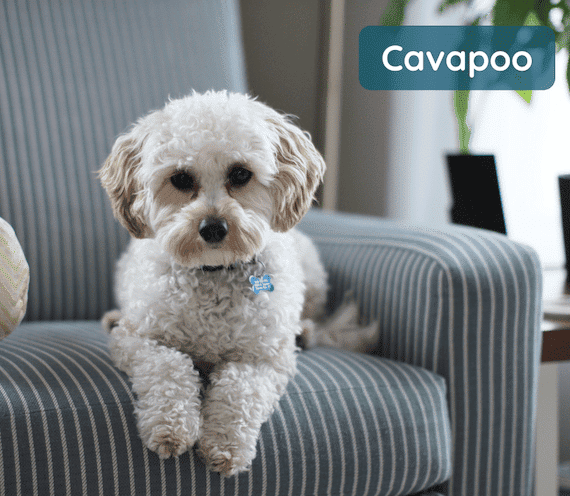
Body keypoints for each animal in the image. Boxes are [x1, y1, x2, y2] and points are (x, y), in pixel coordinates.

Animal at [97, 90, 372, 476]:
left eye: (241, 173)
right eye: (180, 179)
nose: (213, 227)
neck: (213, 272)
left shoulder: (262, 358)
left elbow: (238, 391)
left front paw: (225, 444)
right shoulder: (140, 340)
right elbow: (169, 368)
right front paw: (170, 426)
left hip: (312, 272)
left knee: (313, 314)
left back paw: (303, 331)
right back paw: (111, 318)